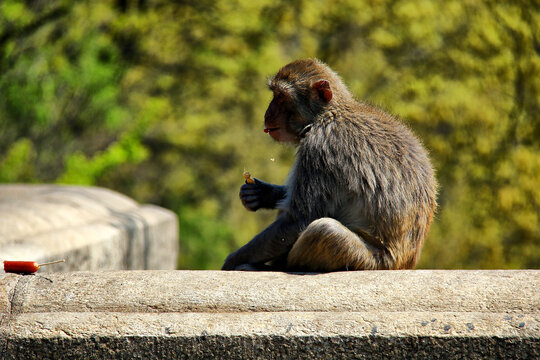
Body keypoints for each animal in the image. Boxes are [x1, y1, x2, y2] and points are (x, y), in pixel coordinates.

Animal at [221, 59, 436, 272]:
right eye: (274, 94)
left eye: (281, 96)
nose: (267, 114)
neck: (327, 115)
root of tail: (405, 263)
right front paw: (260, 193)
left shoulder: (320, 147)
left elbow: (298, 221)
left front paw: (231, 261)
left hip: (369, 260)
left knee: (324, 230)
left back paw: (269, 267)